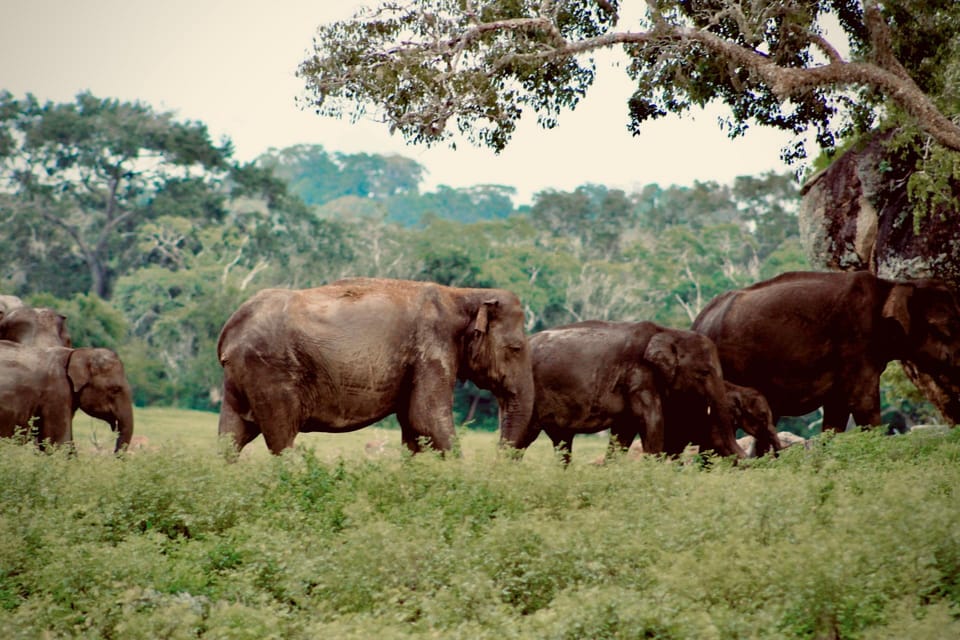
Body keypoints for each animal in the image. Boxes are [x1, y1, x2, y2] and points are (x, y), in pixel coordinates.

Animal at [214, 278, 536, 456]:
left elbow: (415, 429)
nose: (498, 463)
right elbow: (427, 418)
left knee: (231, 438)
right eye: (516, 348)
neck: (463, 294)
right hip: (270, 373)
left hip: (240, 378)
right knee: (281, 441)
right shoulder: (431, 347)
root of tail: (230, 330)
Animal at [498, 322, 748, 462]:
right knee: (520, 436)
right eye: (704, 372)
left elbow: (624, 431)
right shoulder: (639, 377)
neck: (668, 332)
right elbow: (652, 421)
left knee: (558, 441)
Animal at [688, 272, 960, 432]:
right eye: (944, 328)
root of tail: (698, 321)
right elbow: (863, 401)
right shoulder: (855, 342)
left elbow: (837, 409)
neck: (895, 285)